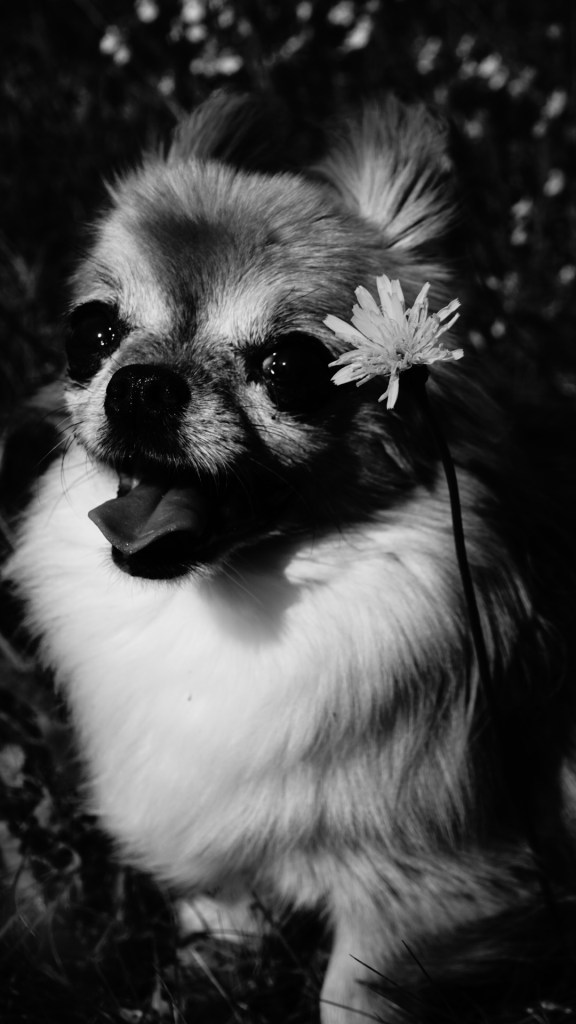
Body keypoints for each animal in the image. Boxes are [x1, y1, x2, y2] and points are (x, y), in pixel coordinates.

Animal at [4, 92, 576, 1022]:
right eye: (90, 332)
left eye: (291, 367)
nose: (142, 384)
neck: (231, 602)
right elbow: (222, 907)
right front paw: (212, 967)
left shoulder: (436, 888)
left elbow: (350, 995)